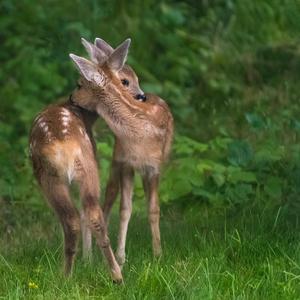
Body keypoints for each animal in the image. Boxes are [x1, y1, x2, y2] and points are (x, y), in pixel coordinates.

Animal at [28, 37, 146, 282]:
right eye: (126, 80)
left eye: (79, 83)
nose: (142, 96)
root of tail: (63, 144)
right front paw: (88, 260)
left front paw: (86, 260)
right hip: (87, 167)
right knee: (91, 214)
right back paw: (116, 275)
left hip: (51, 175)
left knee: (73, 218)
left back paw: (67, 275)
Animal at [69, 37, 173, 268]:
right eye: (125, 81)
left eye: (80, 84)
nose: (71, 99)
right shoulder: (126, 163)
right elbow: (125, 210)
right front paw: (120, 256)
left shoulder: (154, 167)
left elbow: (154, 209)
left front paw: (158, 254)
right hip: (116, 161)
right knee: (108, 198)